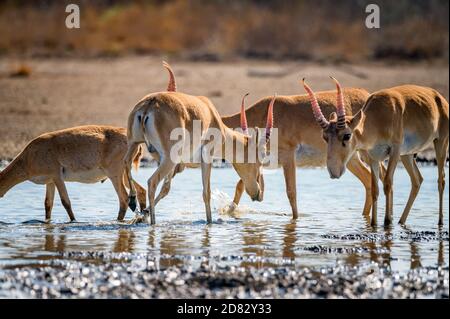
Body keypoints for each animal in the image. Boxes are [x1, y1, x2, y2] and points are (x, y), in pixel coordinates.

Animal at [0, 125, 147, 222]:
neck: (29, 157)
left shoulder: (57, 177)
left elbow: (66, 202)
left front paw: (73, 221)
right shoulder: (50, 182)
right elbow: (48, 204)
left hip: (115, 175)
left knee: (124, 199)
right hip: (123, 175)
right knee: (140, 190)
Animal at [123, 87, 274, 225]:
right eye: (261, 155)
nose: (259, 193)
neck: (211, 114)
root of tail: (149, 105)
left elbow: (166, 189)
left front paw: (143, 214)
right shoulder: (206, 157)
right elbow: (206, 192)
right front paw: (210, 222)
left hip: (134, 144)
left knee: (126, 162)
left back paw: (132, 201)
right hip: (169, 159)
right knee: (152, 182)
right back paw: (153, 223)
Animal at [153, 63, 374, 221]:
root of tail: (367, 94)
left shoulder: (287, 157)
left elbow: (291, 192)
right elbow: (242, 187)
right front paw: (230, 212)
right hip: (351, 159)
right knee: (368, 180)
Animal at [304, 78, 448, 226]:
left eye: (347, 135)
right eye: (325, 136)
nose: (334, 172)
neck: (379, 117)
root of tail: (439, 98)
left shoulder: (395, 151)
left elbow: (387, 183)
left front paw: (387, 222)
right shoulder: (374, 157)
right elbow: (374, 189)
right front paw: (373, 224)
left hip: (440, 142)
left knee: (441, 179)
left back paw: (440, 222)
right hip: (407, 155)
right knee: (417, 180)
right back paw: (401, 222)